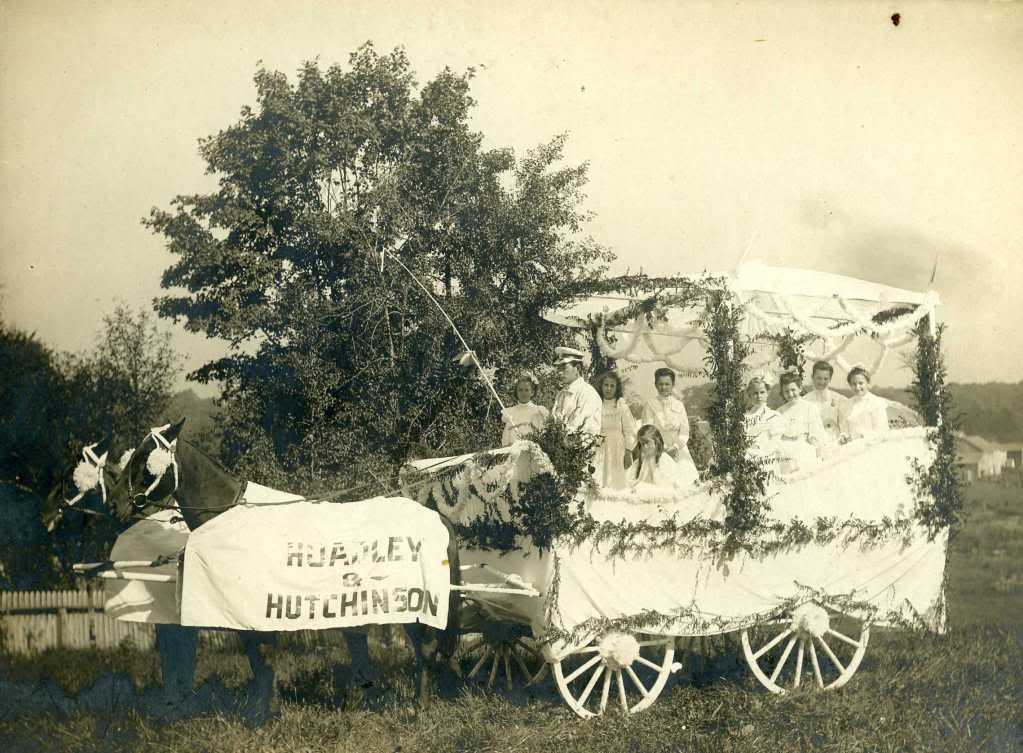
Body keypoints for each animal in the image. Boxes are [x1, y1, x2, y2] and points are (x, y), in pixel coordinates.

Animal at [109, 421, 462, 716]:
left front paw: (269, 714)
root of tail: (436, 517)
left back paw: (419, 707)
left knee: (426, 649)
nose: (115, 504)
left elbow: (264, 661)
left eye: (144, 460)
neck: (233, 516)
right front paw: (266, 710)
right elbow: (260, 663)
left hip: (414, 605)